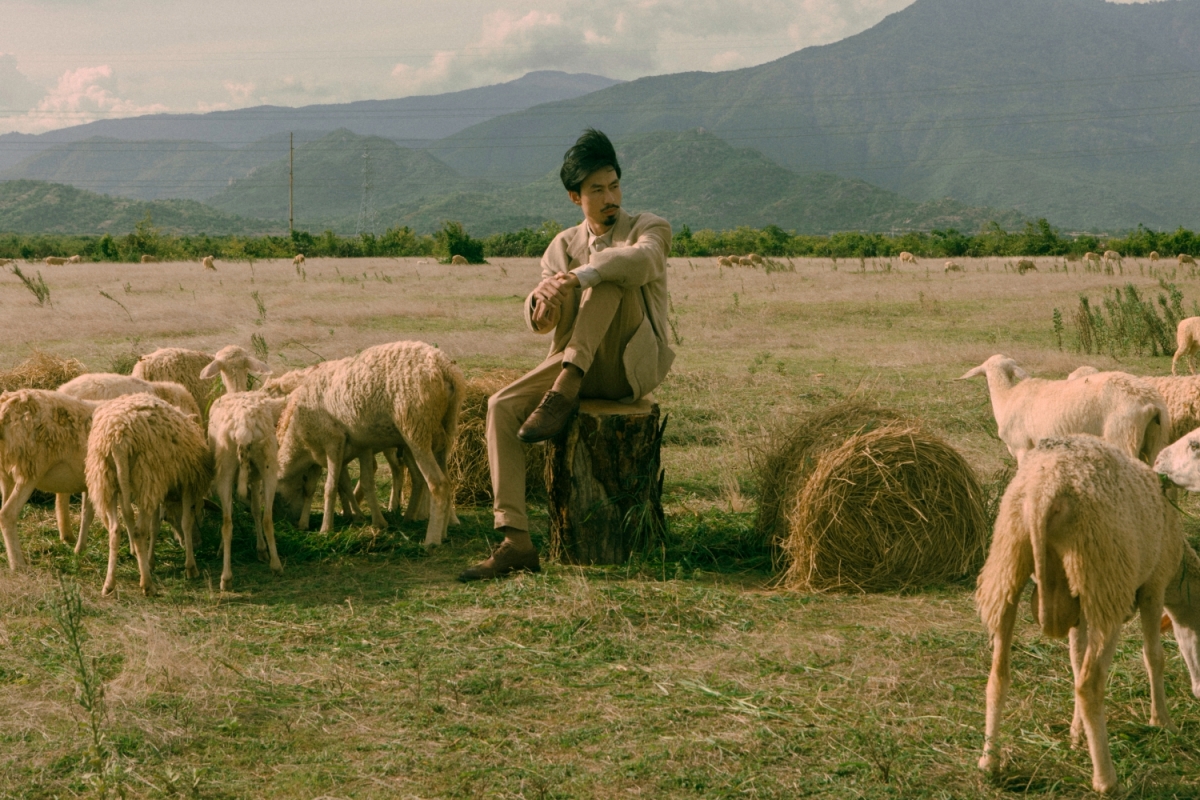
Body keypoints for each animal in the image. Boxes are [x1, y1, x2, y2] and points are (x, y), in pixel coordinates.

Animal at [0, 388, 94, 568]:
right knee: (7, 514)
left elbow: (87, 514)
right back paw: (18, 565)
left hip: (6, 474)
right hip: (29, 469)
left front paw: (80, 549)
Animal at [87, 393, 212, 594]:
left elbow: (155, 526)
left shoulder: (158, 487)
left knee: (115, 529)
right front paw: (191, 567)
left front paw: (150, 560)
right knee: (138, 531)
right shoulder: (186, 483)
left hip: (107, 480)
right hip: (146, 475)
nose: (197, 542)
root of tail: (118, 441)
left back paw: (109, 584)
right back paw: (147, 584)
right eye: (199, 511)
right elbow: (185, 522)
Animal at [207, 391, 286, 592]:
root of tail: (244, 426)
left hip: (227, 468)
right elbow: (256, 510)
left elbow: (253, 510)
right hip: (267, 466)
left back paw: (226, 578)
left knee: (227, 522)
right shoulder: (254, 477)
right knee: (266, 518)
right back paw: (275, 565)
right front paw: (261, 549)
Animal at [274, 340, 460, 546]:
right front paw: (374, 522)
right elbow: (360, 482)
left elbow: (330, 487)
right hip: (444, 431)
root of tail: (444, 367)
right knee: (446, 481)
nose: (284, 521)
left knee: (437, 484)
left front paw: (325, 529)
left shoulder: (333, 441)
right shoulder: (357, 447)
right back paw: (442, 532)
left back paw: (431, 540)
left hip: (416, 428)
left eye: (275, 496)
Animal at [979, 434, 1195, 796]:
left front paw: (1077, 734)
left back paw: (989, 762)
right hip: (1104, 578)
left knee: (998, 675)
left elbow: (1076, 659)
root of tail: (1043, 492)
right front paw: (1161, 721)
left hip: (1010, 562)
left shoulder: (1079, 606)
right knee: (1090, 684)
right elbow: (1154, 656)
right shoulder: (1153, 586)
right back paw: (1106, 780)